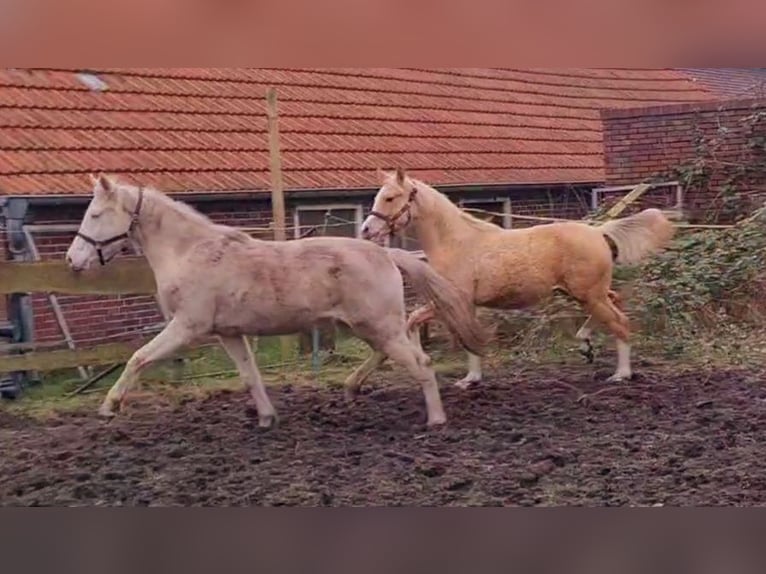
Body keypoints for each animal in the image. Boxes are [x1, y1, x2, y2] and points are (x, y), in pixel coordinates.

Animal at [64, 174, 486, 428]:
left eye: (95, 214)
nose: (72, 260)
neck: (190, 252)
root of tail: (385, 253)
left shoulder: (187, 327)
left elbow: (138, 358)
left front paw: (110, 405)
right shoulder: (228, 333)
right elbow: (250, 375)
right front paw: (267, 417)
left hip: (379, 326)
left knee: (422, 364)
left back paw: (435, 419)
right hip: (369, 327)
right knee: (389, 356)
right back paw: (351, 389)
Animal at [356, 169, 676, 390]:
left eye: (390, 197)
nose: (367, 230)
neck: (456, 242)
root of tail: (598, 231)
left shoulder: (453, 301)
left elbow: (441, 329)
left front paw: (466, 378)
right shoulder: (459, 304)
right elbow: (431, 327)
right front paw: (463, 377)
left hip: (589, 295)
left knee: (620, 322)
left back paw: (621, 374)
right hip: (586, 293)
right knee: (615, 303)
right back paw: (586, 346)